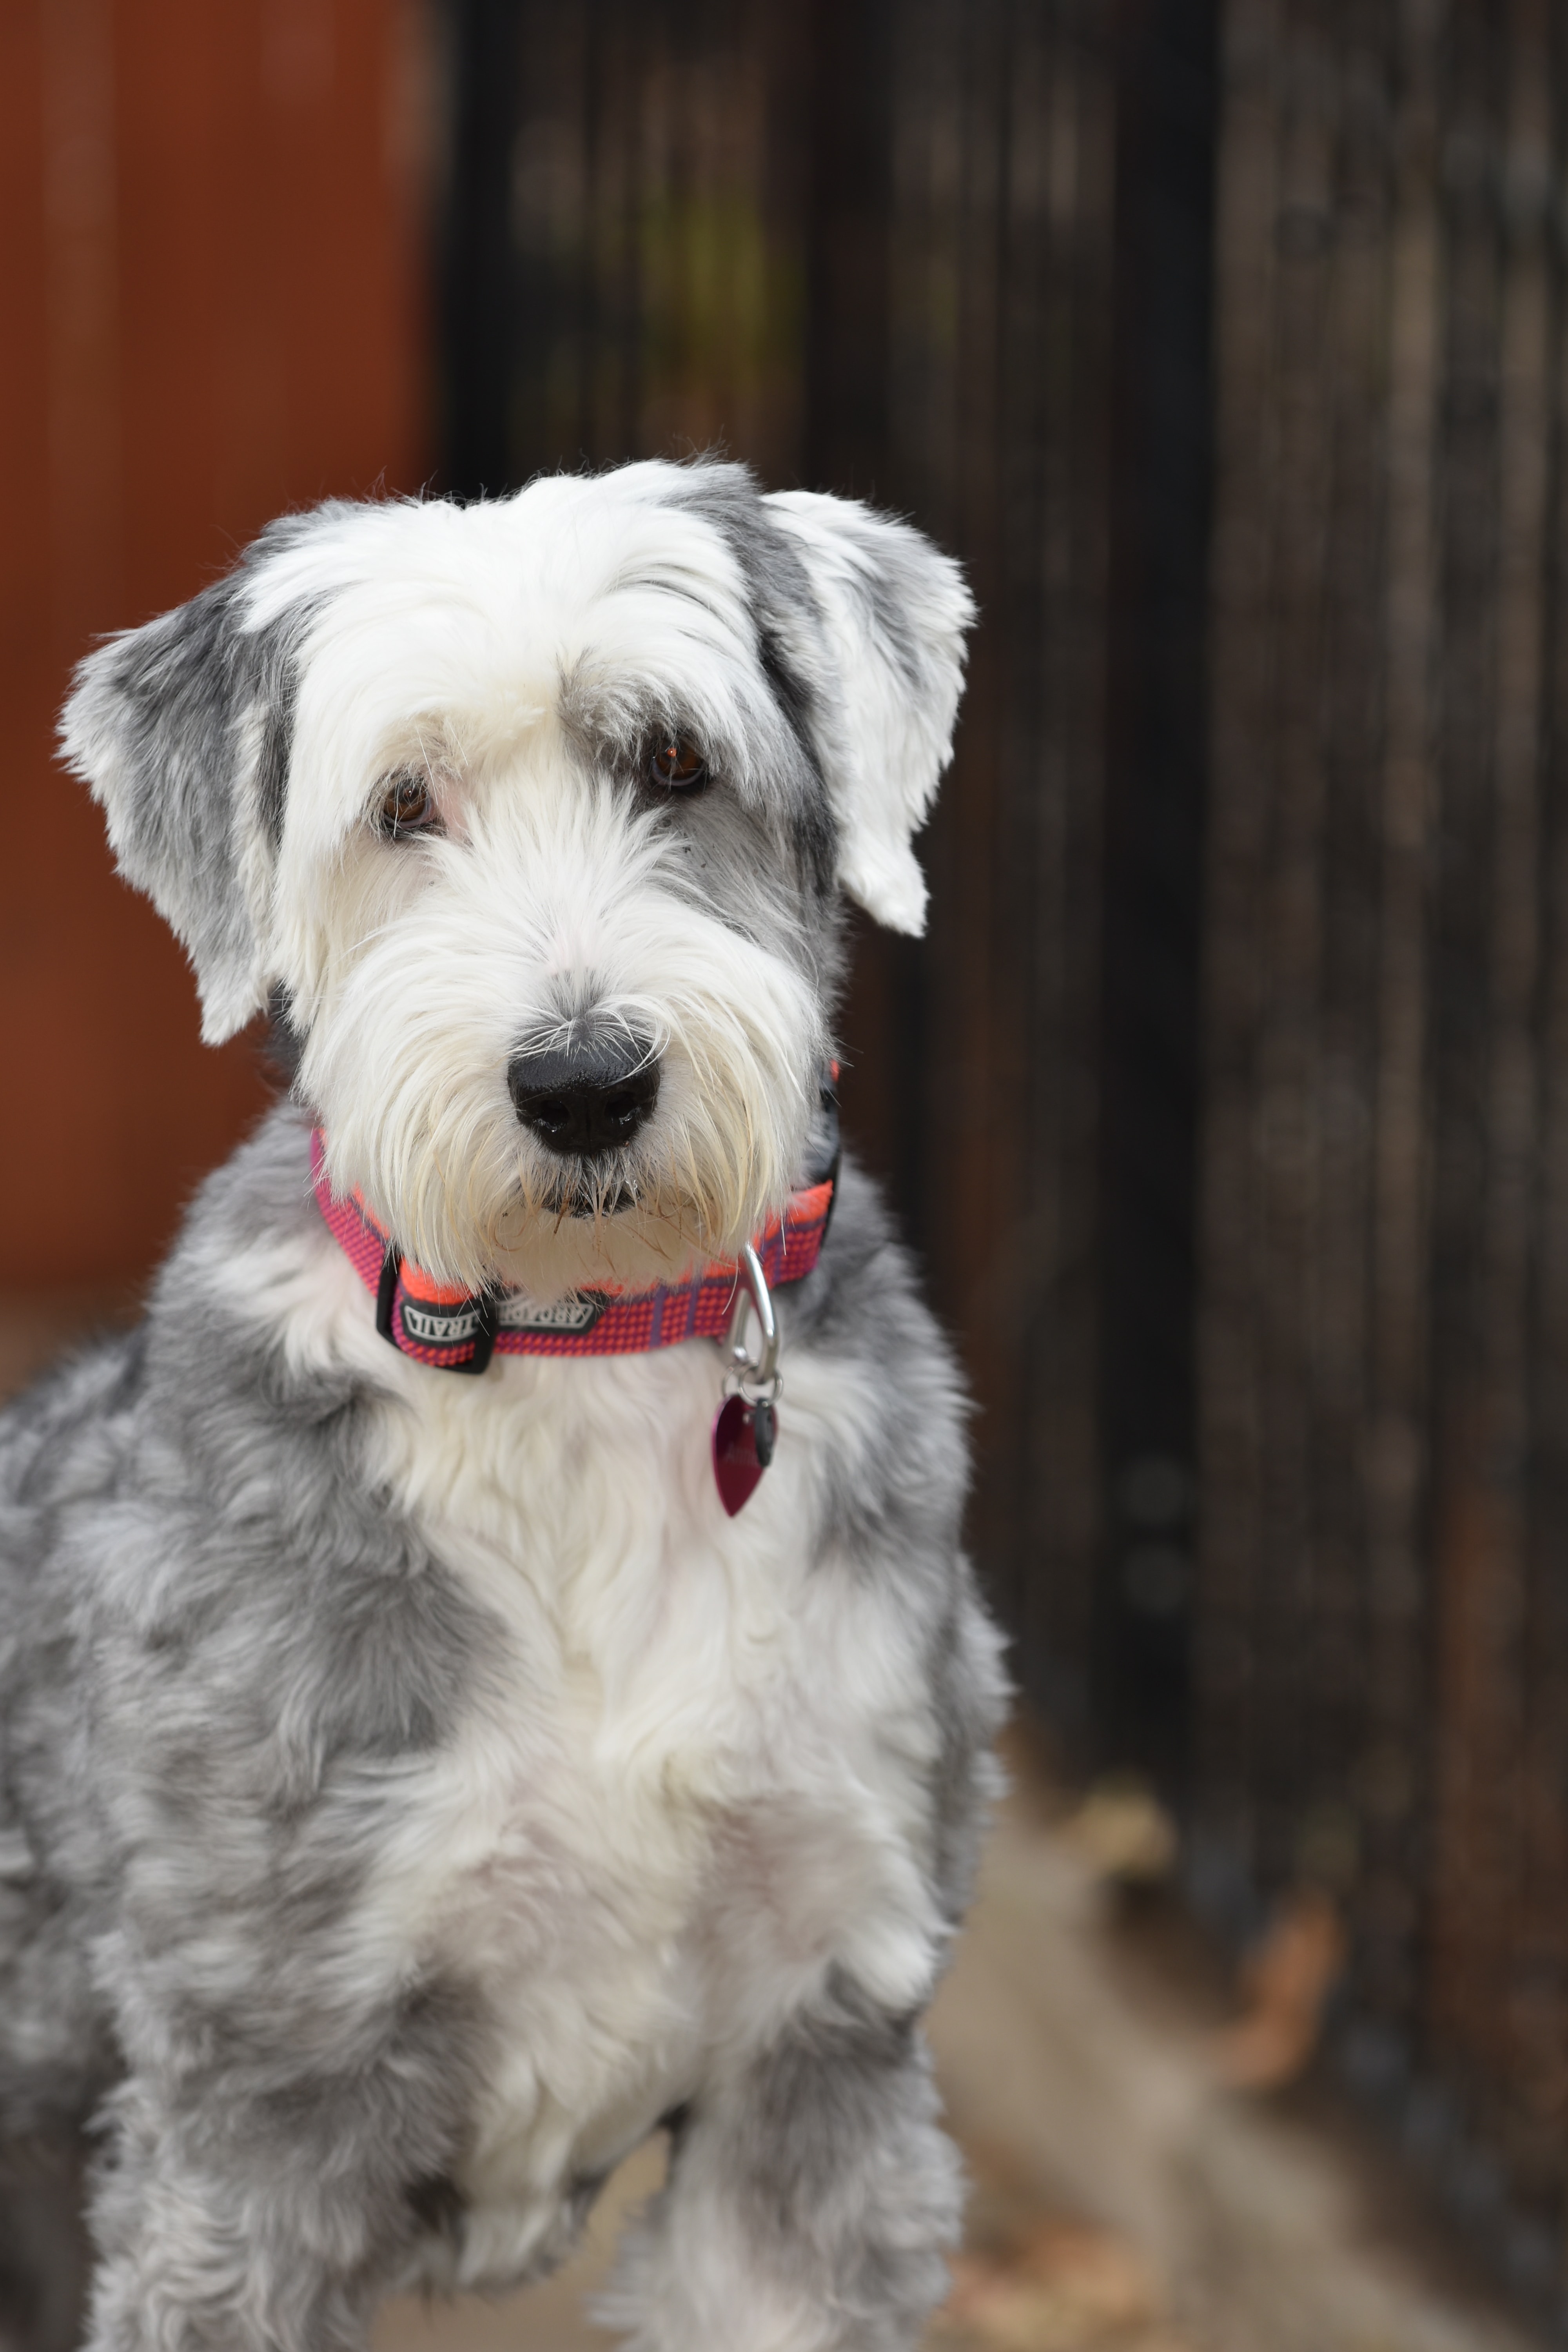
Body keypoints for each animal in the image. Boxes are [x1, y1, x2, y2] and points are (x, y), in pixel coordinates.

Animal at [0, 459, 1006, 2352]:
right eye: (404, 805)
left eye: (675, 760)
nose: (585, 1083)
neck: (571, 1350)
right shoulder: (257, 2100)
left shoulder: (812, 2046)